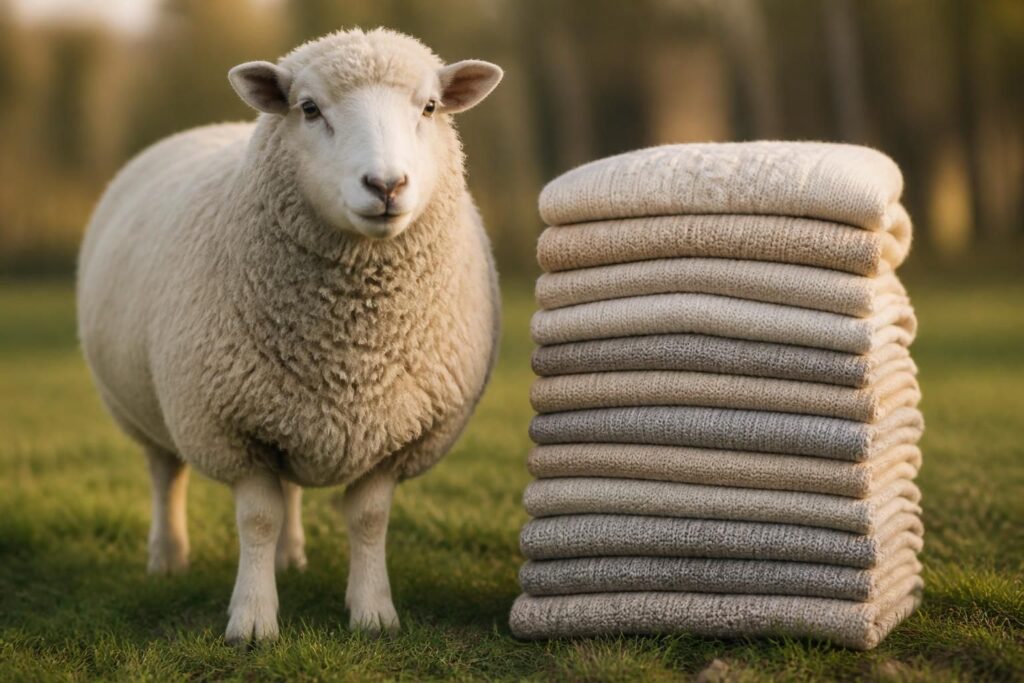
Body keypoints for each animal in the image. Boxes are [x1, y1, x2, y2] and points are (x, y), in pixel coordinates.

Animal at [76, 28, 503, 644]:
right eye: (309, 109)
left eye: (429, 107)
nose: (386, 184)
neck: (351, 349)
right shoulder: (230, 426)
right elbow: (258, 518)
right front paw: (252, 621)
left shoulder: (394, 435)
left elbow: (368, 519)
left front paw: (373, 614)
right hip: (141, 405)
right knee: (165, 475)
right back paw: (168, 558)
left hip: (294, 410)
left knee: (292, 487)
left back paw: (292, 557)